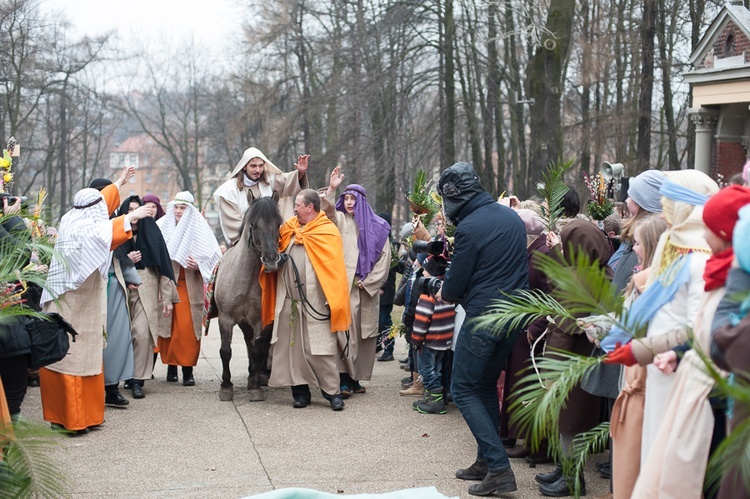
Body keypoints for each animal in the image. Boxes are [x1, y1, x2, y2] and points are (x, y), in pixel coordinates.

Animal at [213, 195, 284, 402]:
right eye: (254, 224)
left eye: (278, 223)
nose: (271, 259)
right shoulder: (226, 318)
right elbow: (225, 351)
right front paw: (226, 387)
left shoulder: (260, 320)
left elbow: (257, 349)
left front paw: (255, 387)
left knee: (258, 346)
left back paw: (256, 376)